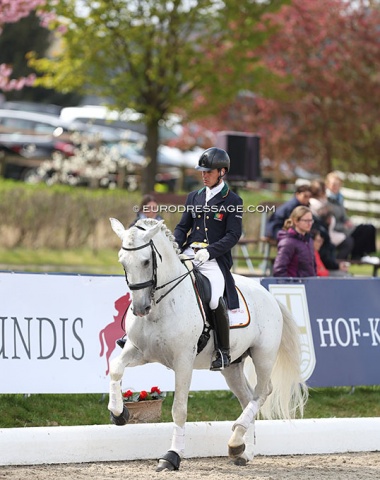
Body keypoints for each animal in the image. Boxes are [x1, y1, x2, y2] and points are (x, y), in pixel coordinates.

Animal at [108, 218, 308, 472]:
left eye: (146, 261)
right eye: (122, 261)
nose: (140, 308)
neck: (161, 306)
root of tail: (269, 296)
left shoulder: (183, 361)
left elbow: (179, 409)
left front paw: (172, 456)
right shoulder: (138, 350)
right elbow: (116, 369)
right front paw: (119, 414)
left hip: (263, 356)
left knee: (262, 393)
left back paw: (237, 440)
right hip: (231, 366)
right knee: (248, 397)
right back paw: (242, 450)